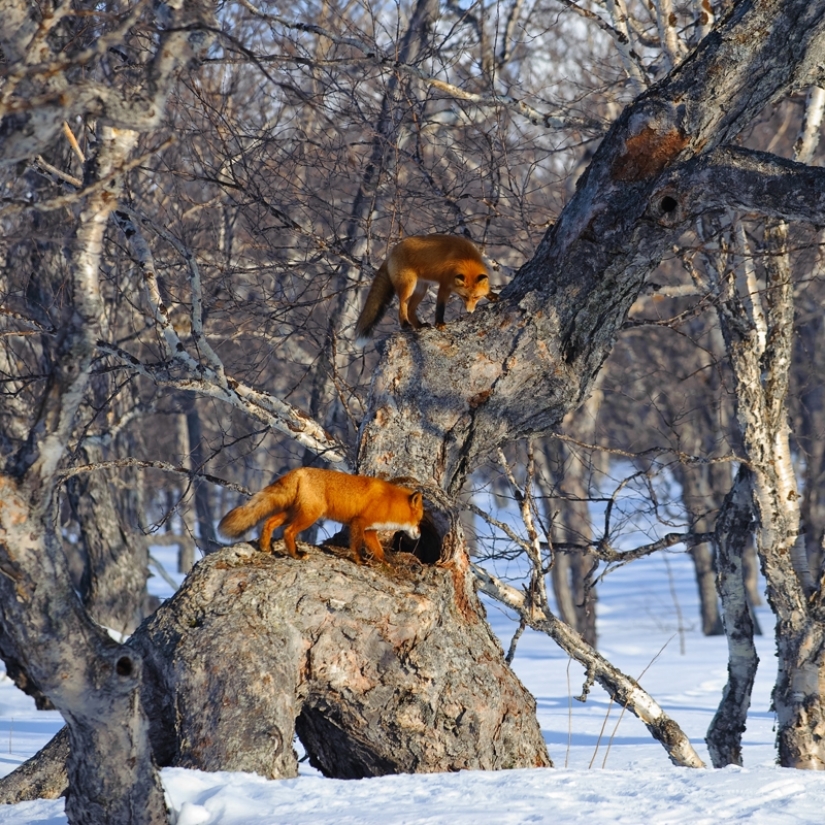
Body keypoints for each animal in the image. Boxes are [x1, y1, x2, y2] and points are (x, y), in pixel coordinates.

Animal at [217, 467, 424, 564]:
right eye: (420, 520)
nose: (420, 535)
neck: (389, 503)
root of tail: (299, 470)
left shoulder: (370, 530)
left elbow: (379, 552)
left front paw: (386, 564)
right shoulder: (358, 523)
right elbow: (356, 546)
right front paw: (360, 561)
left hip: (293, 512)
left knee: (269, 522)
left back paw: (265, 547)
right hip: (310, 515)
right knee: (288, 532)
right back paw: (296, 554)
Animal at [354, 234, 495, 344]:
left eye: (476, 297)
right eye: (464, 297)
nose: (469, 312)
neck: (465, 259)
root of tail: (391, 252)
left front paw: (492, 296)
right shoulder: (445, 285)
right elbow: (440, 307)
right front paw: (439, 323)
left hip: (422, 288)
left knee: (410, 309)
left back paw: (419, 325)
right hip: (408, 285)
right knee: (402, 306)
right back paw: (405, 324)